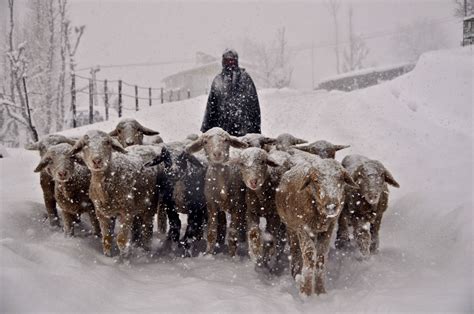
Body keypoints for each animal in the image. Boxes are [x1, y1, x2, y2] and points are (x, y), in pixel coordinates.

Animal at [67, 130, 159, 258]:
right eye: (84, 144)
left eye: (107, 142)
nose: (97, 160)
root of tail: (145, 146)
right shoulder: (102, 213)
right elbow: (106, 238)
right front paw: (108, 256)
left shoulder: (126, 212)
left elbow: (121, 240)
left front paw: (123, 258)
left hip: (150, 205)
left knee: (148, 229)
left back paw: (146, 249)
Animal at [186, 127, 250, 258]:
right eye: (205, 142)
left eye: (226, 140)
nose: (217, 154)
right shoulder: (211, 205)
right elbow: (211, 232)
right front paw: (208, 254)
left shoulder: (237, 205)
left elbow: (233, 233)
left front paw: (232, 255)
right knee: (222, 222)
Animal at [276, 156, 358, 296]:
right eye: (315, 180)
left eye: (340, 179)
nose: (331, 206)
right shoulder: (302, 227)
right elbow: (309, 255)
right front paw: (306, 292)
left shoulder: (329, 228)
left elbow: (321, 255)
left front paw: (320, 291)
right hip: (291, 228)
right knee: (295, 251)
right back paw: (296, 274)